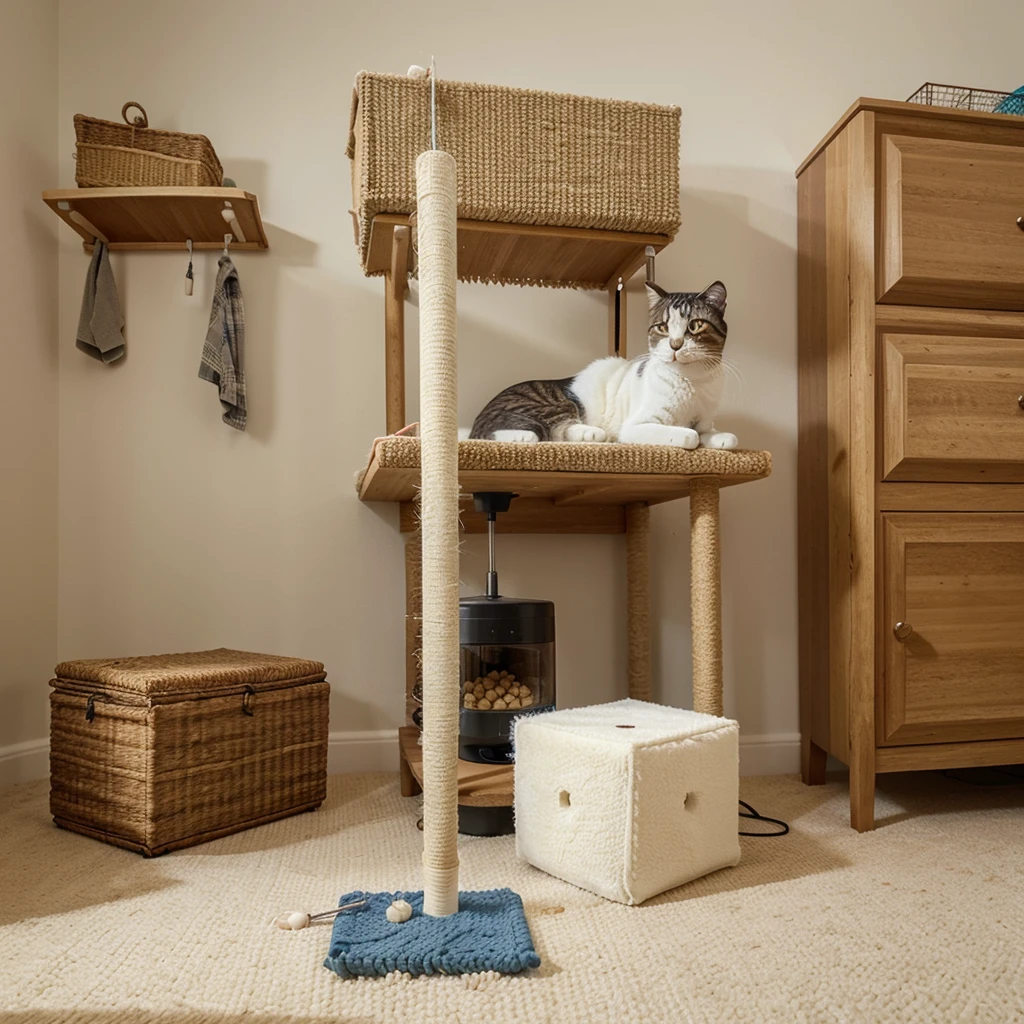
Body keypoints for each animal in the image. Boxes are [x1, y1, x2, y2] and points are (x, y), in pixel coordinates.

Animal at [468, 284, 741, 452]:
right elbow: (689, 435)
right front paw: (687, 434)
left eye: (695, 325)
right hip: (553, 405)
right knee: (521, 432)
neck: (693, 382)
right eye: (663, 327)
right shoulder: (635, 426)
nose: (675, 345)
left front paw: (720, 437)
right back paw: (527, 436)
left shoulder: (704, 420)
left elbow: (716, 434)